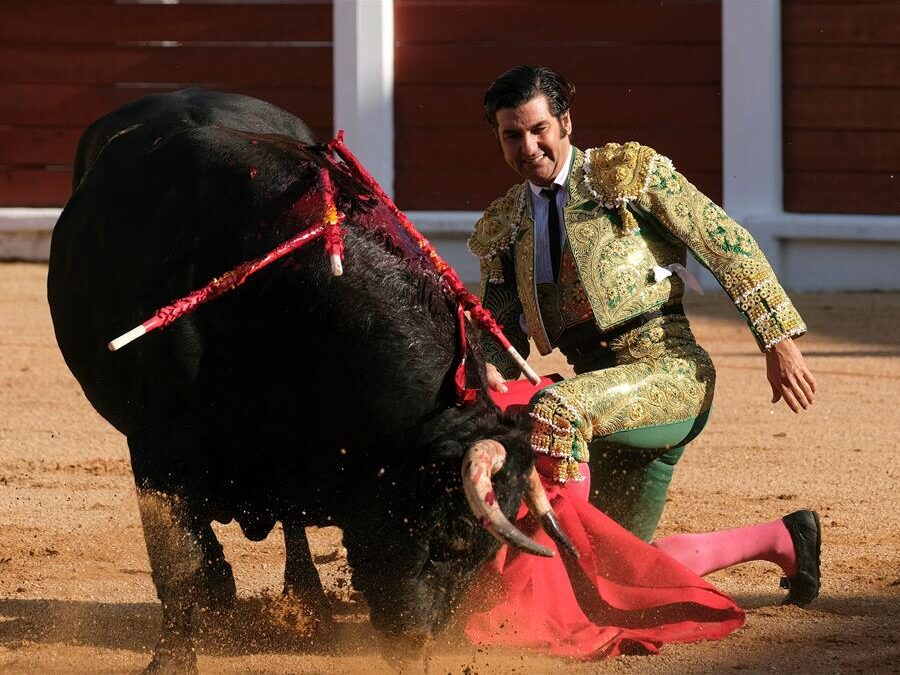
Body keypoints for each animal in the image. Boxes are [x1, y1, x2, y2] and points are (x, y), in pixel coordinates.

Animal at [49, 88, 560, 672]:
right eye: (450, 540)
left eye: (485, 555)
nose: (416, 648)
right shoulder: (158, 451)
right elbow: (177, 555)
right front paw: (174, 656)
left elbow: (283, 518)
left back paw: (307, 602)